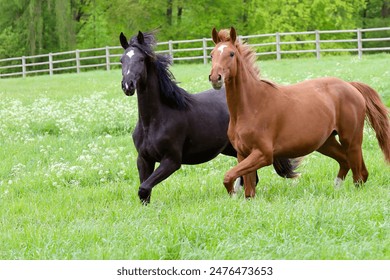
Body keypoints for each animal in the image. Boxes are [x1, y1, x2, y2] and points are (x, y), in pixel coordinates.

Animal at [119, 31, 298, 203]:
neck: (154, 121)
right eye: (122, 60)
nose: (128, 85)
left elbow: (144, 188)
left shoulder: (171, 161)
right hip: (232, 149)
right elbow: (145, 192)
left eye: (141, 59)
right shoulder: (144, 159)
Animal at [210, 25, 390, 197]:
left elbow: (228, 177)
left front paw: (233, 194)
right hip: (326, 142)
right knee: (347, 163)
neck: (251, 107)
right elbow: (248, 189)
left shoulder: (263, 154)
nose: (215, 78)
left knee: (359, 175)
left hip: (351, 140)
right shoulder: (243, 154)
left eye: (231, 54)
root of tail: (350, 85)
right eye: (212, 55)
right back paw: (336, 189)